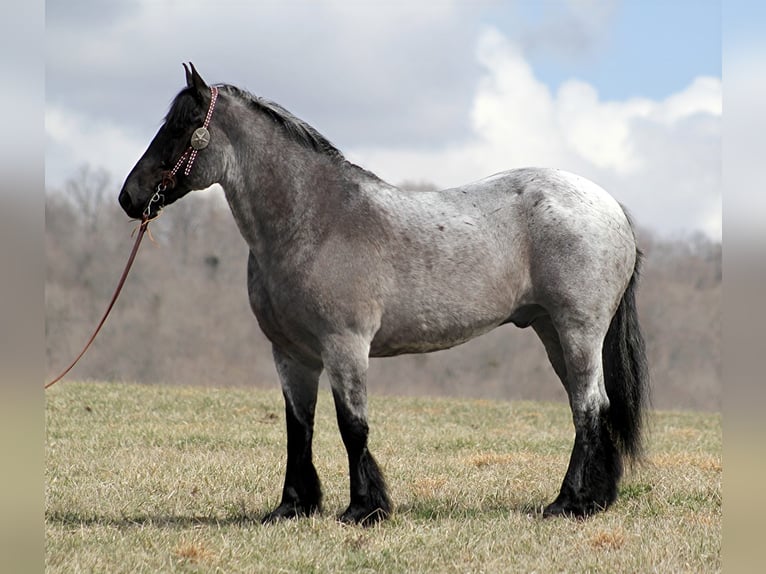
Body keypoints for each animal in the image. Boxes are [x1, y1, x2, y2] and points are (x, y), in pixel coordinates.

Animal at [118, 63, 648, 528]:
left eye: (181, 129)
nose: (129, 197)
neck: (316, 221)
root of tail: (611, 207)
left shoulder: (345, 346)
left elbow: (352, 426)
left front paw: (363, 509)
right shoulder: (291, 354)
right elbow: (298, 427)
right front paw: (292, 507)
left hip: (577, 331)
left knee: (589, 406)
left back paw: (571, 504)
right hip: (550, 330)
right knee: (585, 409)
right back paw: (590, 498)